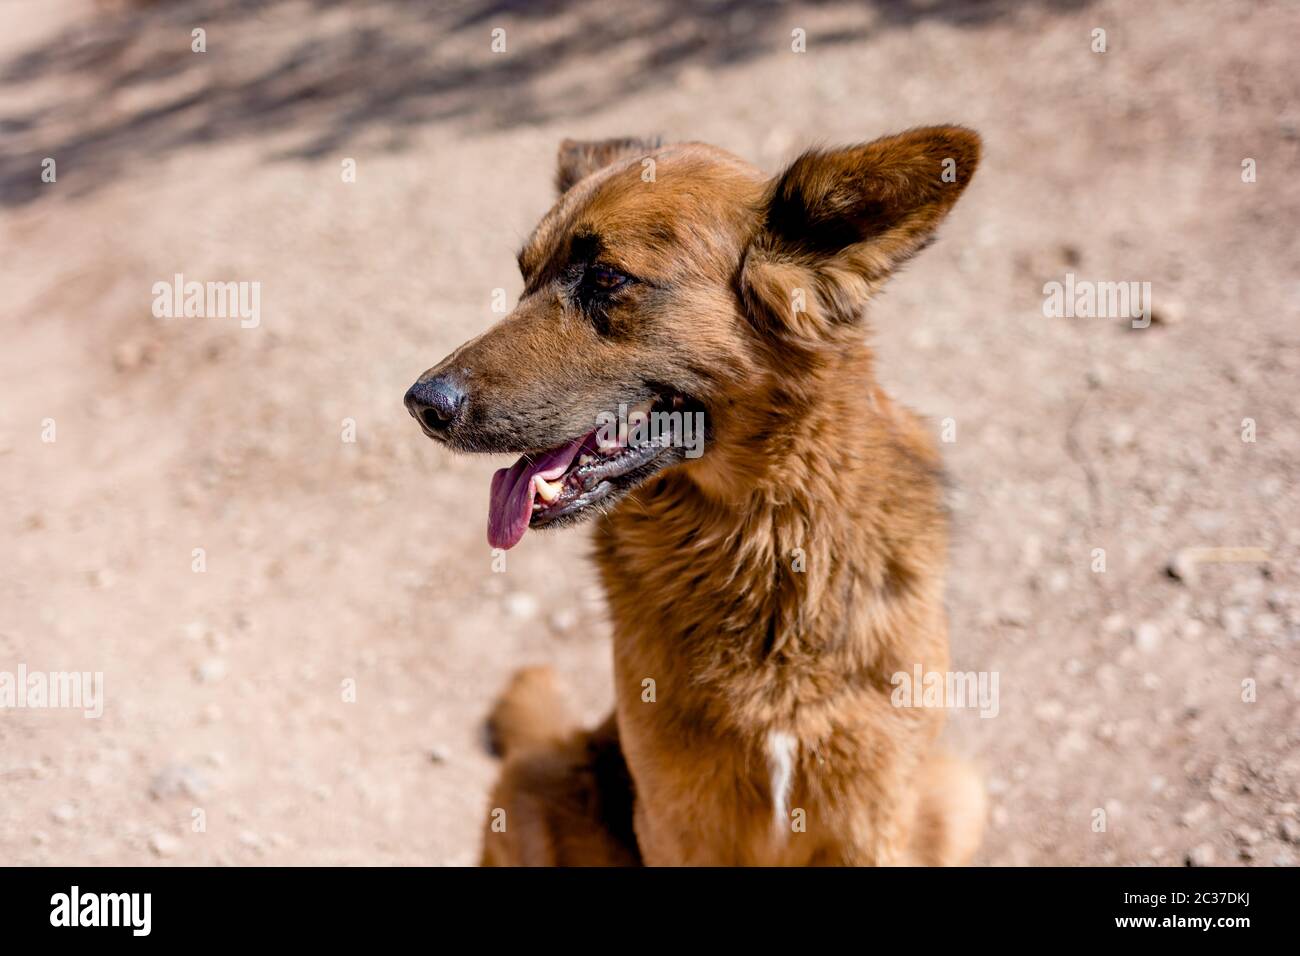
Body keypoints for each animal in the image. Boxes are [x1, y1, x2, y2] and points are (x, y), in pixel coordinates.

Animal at [405, 127, 982, 868]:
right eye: (525, 277)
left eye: (607, 278)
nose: (423, 405)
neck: (761, 545)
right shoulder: (675, 822)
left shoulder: (870, 822)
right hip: (530, 779)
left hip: (956, 791)